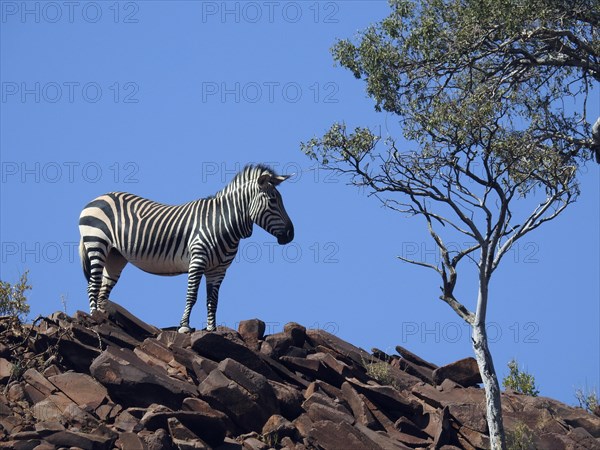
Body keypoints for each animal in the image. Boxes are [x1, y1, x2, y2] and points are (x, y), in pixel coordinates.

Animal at [78, 163, 294, 332]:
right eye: (273, 201)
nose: (291, 235)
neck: (221, 221)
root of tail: (99, 197)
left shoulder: (218, 270)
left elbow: (212, 301)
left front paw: (212, 329)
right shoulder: (198, 260)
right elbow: (192, 295)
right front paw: (184, 326)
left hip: (115, 255)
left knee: (103, 288)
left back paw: (105, 318)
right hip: (96, 243)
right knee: (93, 284)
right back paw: (94, 316)